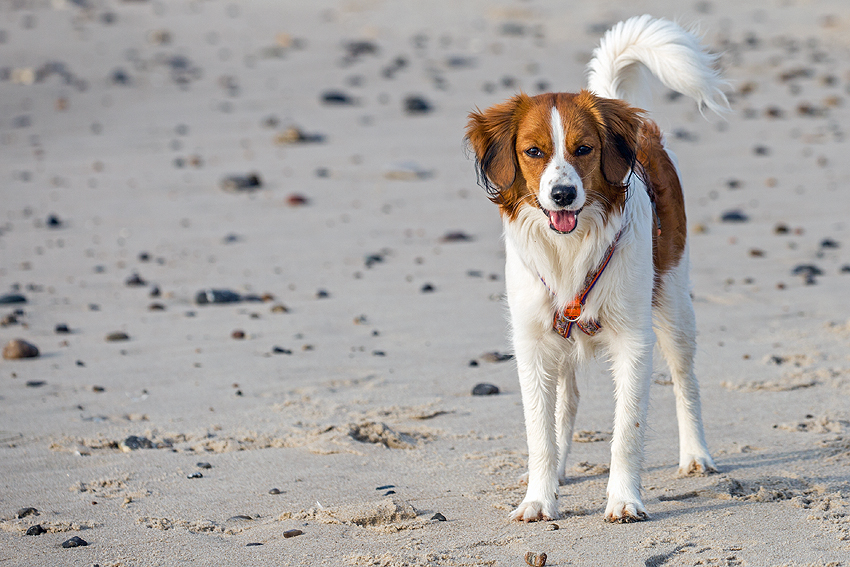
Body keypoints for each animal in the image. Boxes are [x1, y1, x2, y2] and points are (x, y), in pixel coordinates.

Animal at [468, 14, 724, 524]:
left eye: (584, 149)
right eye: (533, 152)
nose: (563, 195)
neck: (570, 248)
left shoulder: (633, 339)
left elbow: (627, 429)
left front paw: (624, 500)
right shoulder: (532, 341)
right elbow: (540, 431)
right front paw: (539, 497)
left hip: (674, 304)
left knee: (685, 379)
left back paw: (695, 455)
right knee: (566, 404)